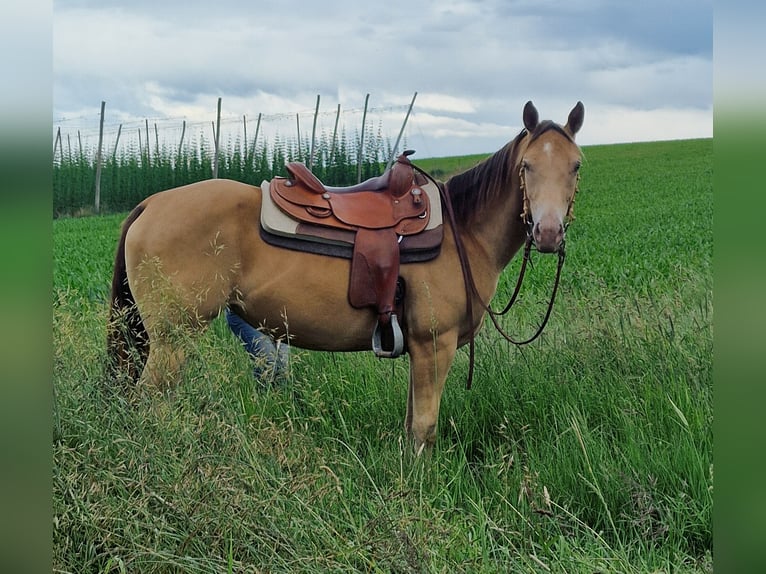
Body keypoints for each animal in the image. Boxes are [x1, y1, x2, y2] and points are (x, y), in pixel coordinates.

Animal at [109, 100, 588, 450]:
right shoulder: (435, 345)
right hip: (173, 339)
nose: (547, 232)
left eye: (576, 165)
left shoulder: (418, 349)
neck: (462, 230)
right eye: (526, 166)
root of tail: (150, 204)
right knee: (149, 402)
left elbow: (412, 424)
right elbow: (425, 428)